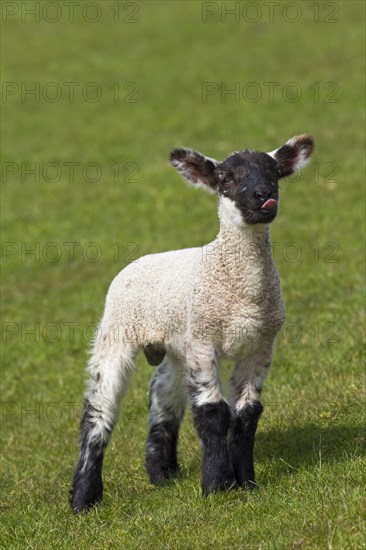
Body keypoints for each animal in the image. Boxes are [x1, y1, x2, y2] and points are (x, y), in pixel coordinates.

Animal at [69, 134, 314, 512]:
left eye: (274, 172)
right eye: (226, 179)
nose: (263, 195)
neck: (241, 294)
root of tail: (140, 260)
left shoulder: (260, 345)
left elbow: (247, 414)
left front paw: (247, 483)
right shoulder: (202, 339)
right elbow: (212, 412)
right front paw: (216, 485)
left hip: (174, 343)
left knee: (162, 393)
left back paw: (161, 472)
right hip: (117, 329)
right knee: (98, 408)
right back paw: (84, 497)